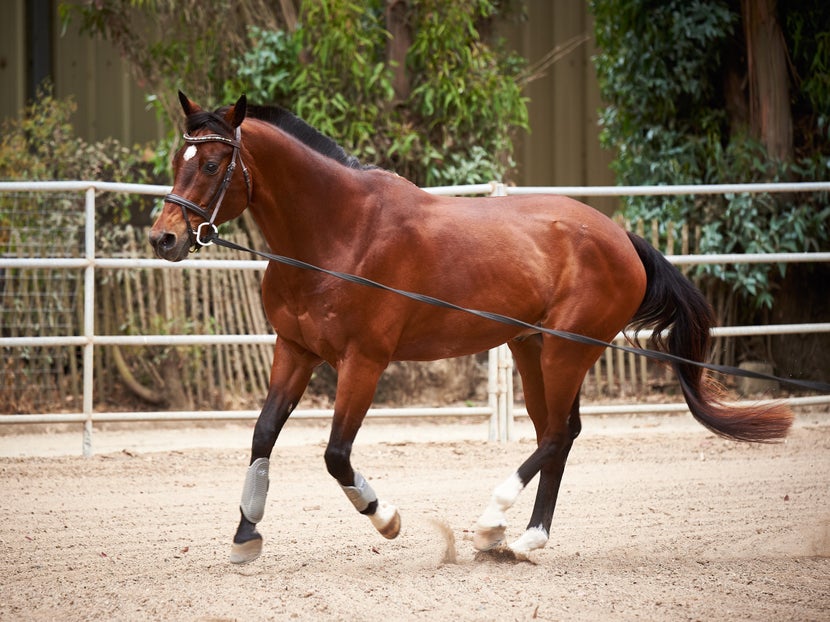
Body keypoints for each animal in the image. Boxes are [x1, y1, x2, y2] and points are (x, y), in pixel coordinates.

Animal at [148, 92, 792, 564]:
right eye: (177, 161)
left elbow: (335, 454)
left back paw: (490, 526)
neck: (340, 234)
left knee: (557, 435)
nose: (164, 238)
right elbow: (262, 435)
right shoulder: (296, 350)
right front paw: (245, 538)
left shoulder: (364, 361)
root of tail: (621, 238)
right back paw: (525, 538)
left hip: (565, 351)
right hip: (532, 348)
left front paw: (387, 519)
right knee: (559, 433)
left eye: (212, 164)